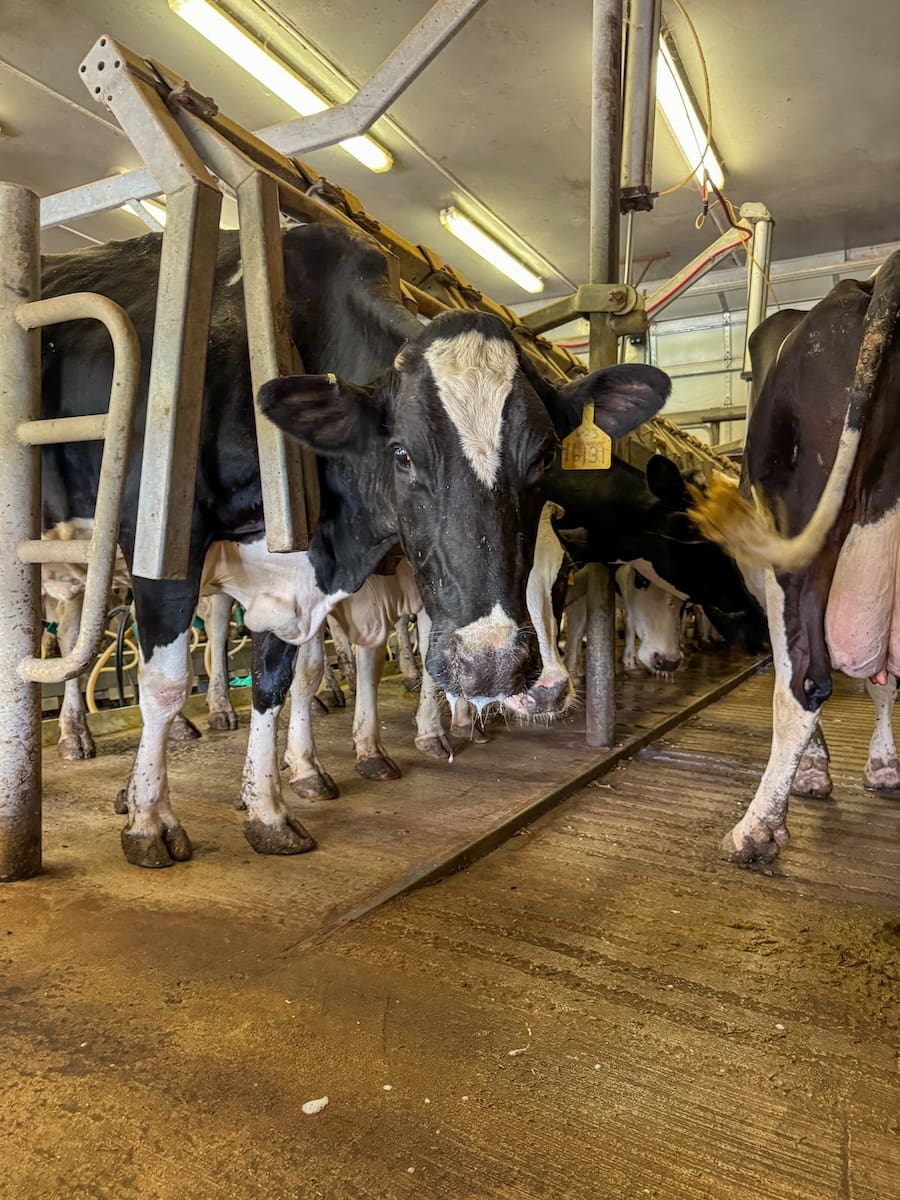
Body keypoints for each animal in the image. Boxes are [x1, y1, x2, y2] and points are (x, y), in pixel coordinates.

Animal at [42, 220, 672, 868]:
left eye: (545, 456)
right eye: (402, 454)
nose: (493, 664)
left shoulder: (292, 573)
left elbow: (278, 680)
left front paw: (268, 810)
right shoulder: (163, 539)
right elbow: (166, 685)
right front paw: (149, 819)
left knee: (70, 635)